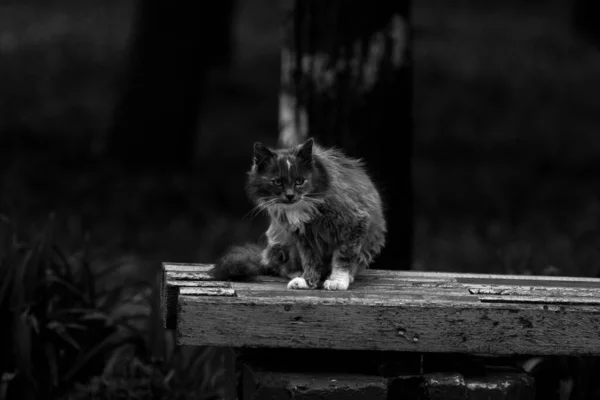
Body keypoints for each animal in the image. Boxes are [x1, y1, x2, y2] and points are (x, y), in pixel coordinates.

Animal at [209, 138, 386, 290]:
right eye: (277, 182)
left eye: (300, 181)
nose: (290, 195)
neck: (303, 206)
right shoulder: (303, 235)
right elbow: (310, 259)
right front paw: (308, 281)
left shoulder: (354, 223)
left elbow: (344, 257)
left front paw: (338, 281)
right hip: (281, 243)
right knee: (278, 266)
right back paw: (297, 273)